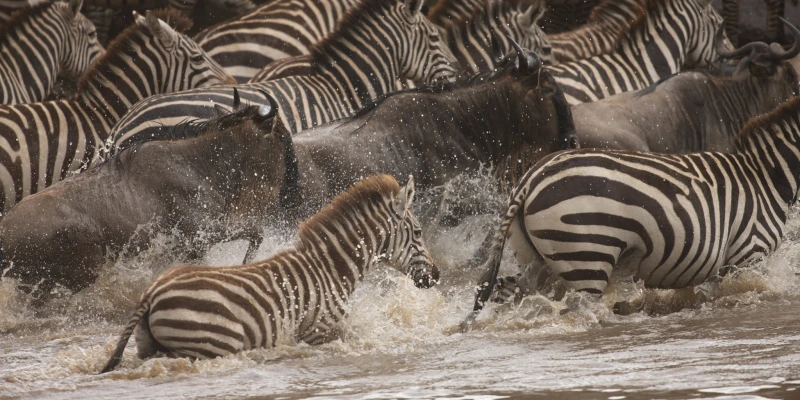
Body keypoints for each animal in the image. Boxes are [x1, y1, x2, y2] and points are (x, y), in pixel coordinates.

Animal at [100, 174, 439, 372]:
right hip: (212, 343)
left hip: (149, 345)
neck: (331, 269)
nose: (436, 276)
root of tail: (152, 291)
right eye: (419, 232)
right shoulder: (320, 332)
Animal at [466, 94, 800, 321]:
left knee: (505, 291)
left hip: (537, 260)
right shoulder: (748, 255)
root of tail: (531, 178)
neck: (767, 176)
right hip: (587, 256)